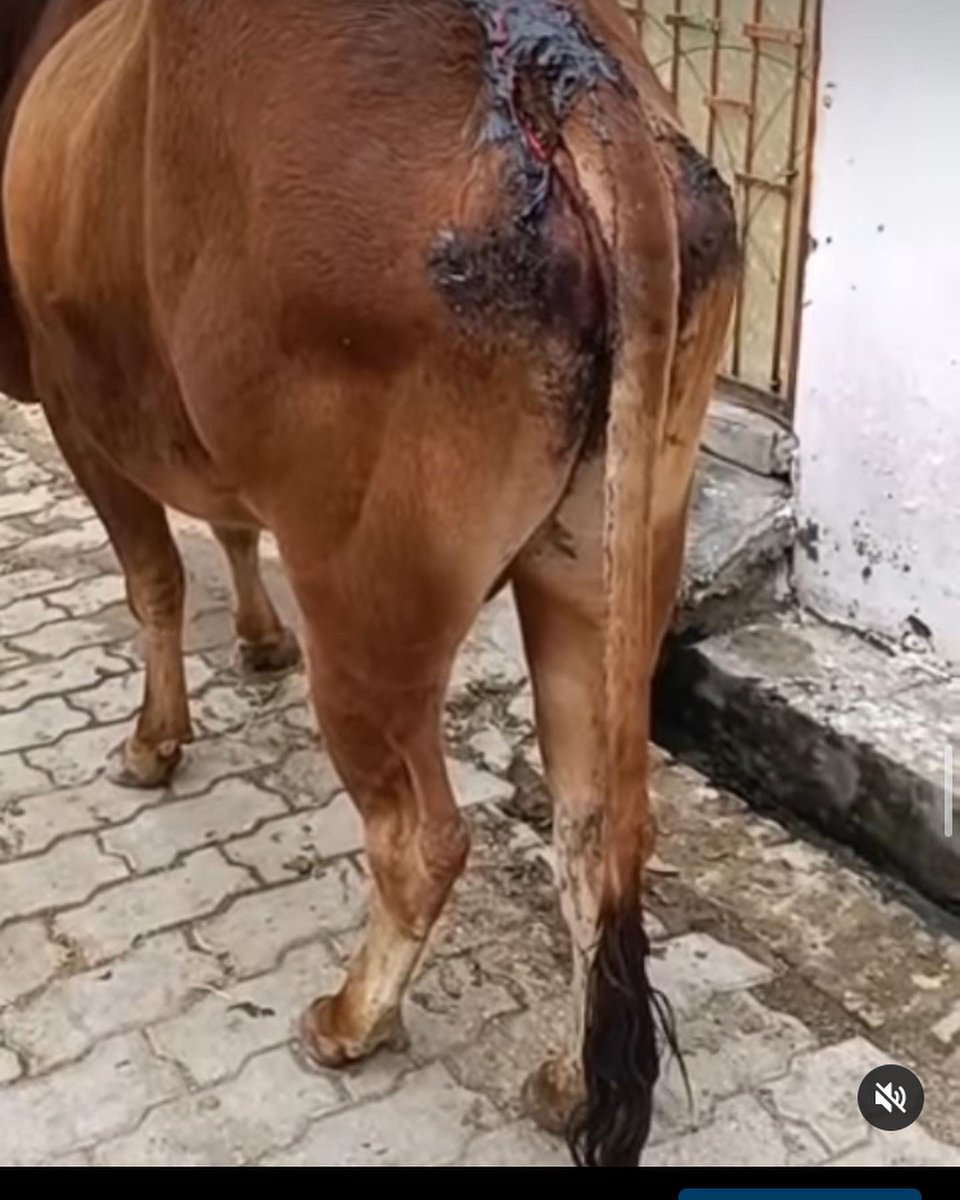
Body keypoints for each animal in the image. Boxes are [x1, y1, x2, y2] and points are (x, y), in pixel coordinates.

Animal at [1, 0, 739, 1167]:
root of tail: (554, 61)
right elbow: (227, 529)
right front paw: (257, 640)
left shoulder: (83, 412)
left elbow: (154, 582)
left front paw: (153, 743)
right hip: (610, 552)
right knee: (601, 829)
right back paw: (570, 1080)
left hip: (366, 599)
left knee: (421, 838)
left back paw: (352, 1020)